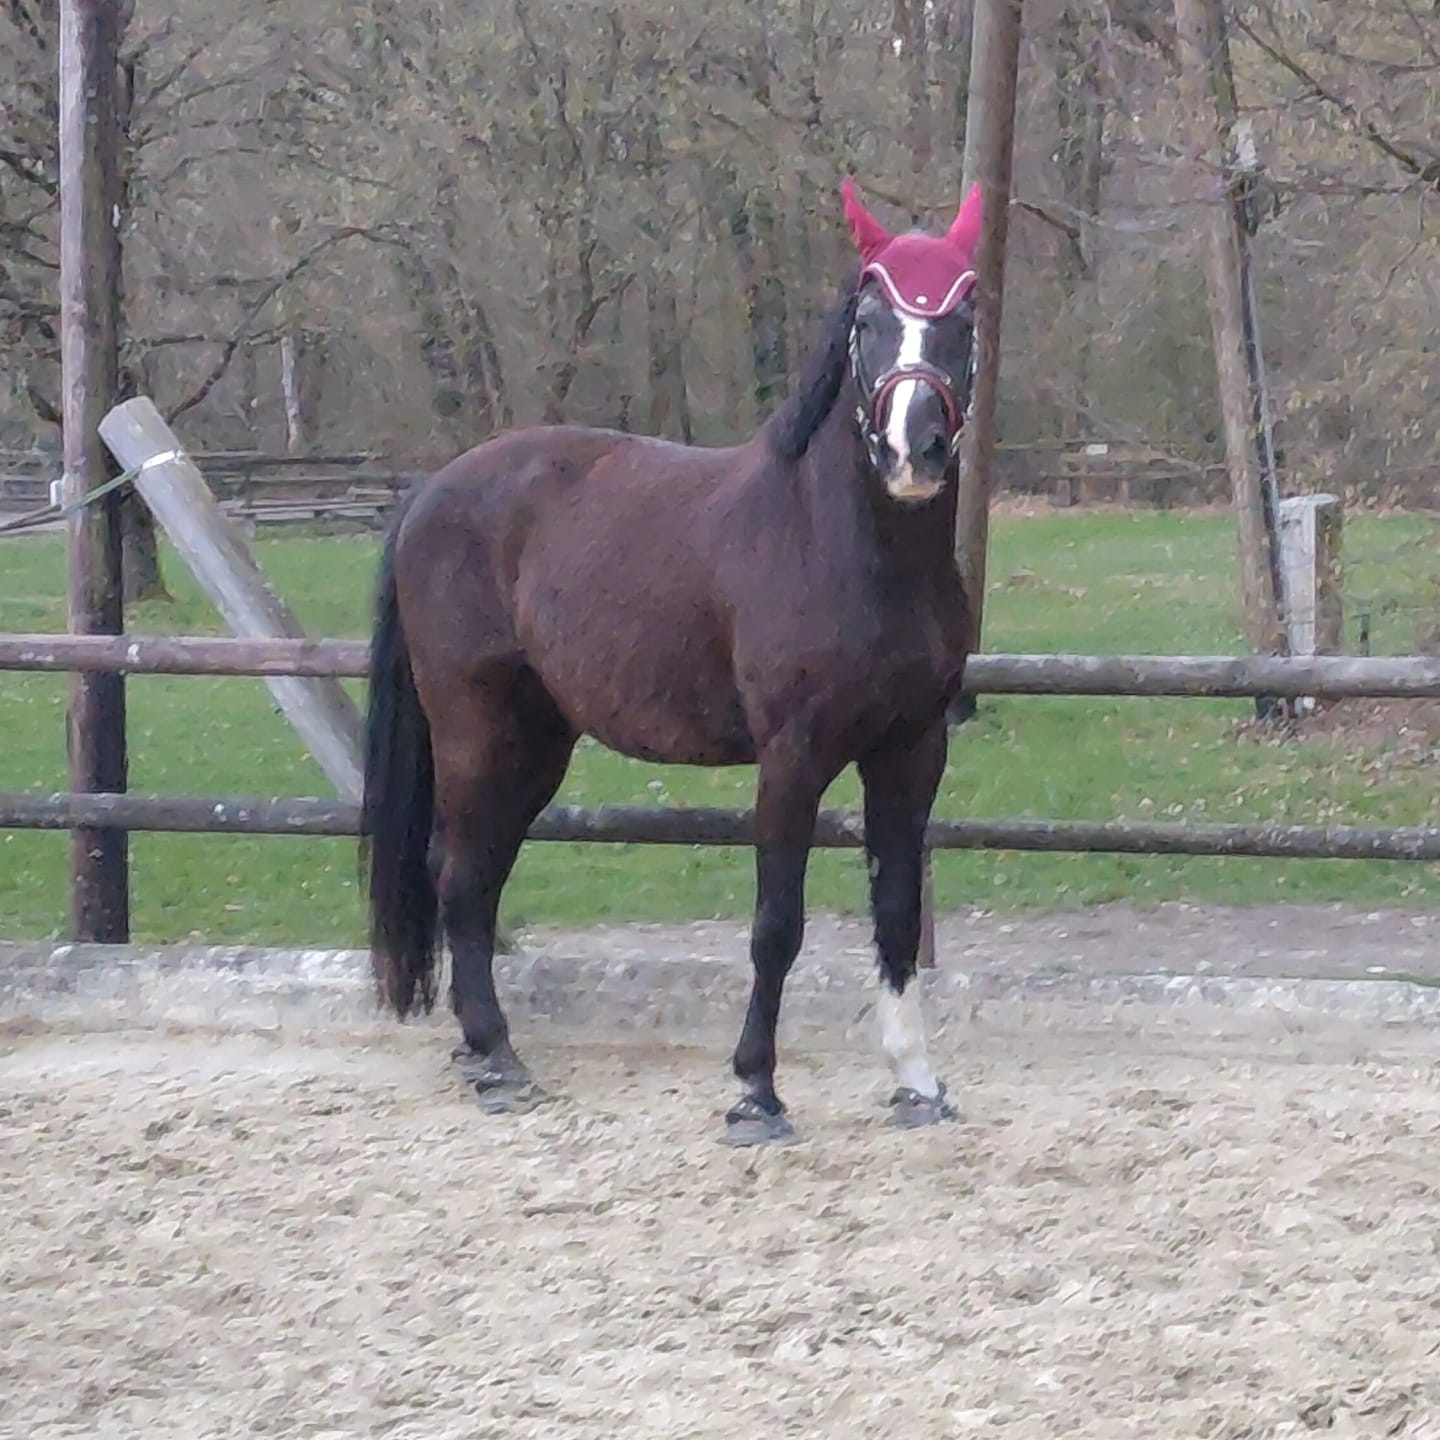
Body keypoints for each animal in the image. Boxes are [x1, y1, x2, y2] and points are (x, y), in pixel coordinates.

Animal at [362, 176, 984, 1145]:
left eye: (962, 313)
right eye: (870, 316)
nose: (909, 447)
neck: (839, 545)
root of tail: (432, 492)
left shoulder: (912, 751)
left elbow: (894, 916)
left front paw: (916, 1083)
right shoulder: (793, 757)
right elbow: (777, 924)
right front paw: (756, 1092)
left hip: (538, 743)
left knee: (478, 878)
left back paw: (481, 1049)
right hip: (475, 730)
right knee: (457, 875)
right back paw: (498, 1059)